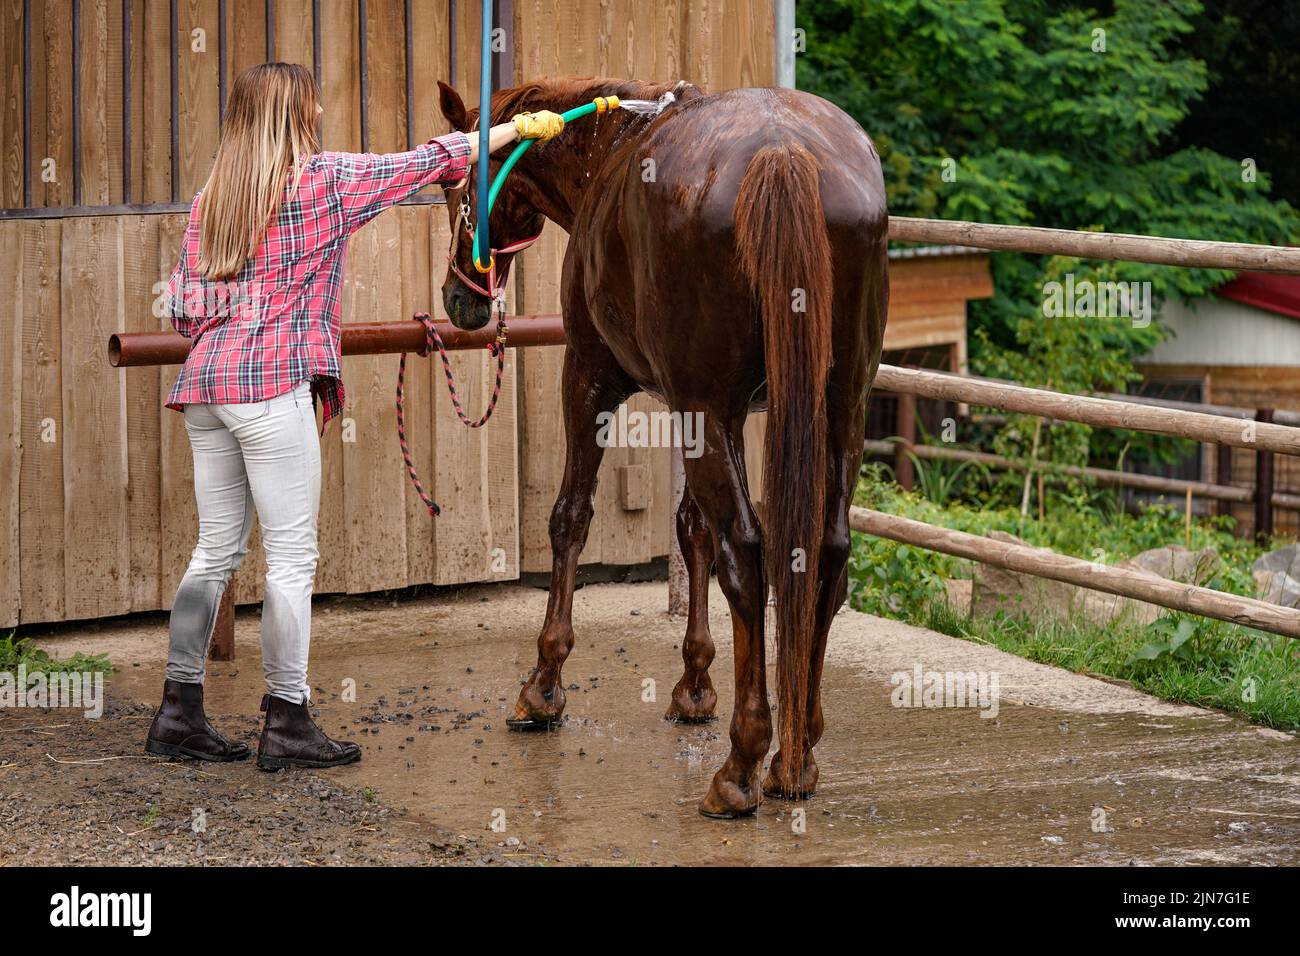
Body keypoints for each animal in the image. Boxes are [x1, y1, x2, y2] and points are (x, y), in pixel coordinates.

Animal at [441, 78, 889, 816]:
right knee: (825, 551)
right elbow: (691, 531)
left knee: (747, 553)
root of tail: (782, 151)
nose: (459, 299)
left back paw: (741, 765)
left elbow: (572, 519)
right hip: (840, 409)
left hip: (712, 407)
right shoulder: (718, 413)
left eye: (457, 186)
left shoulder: (593, 379)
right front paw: (695, 684)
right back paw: (797, 751)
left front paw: (544, 685)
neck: (611, 149)